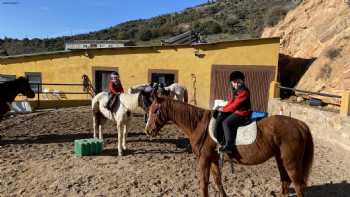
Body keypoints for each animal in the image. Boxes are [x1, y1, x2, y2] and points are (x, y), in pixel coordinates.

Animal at [145, 96, 314, 197]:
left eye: (156, 110)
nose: (148, 130)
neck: (199, 125)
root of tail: (300, 124)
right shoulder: (213, 159)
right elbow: (218, 181)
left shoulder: (204, 159)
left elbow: (204, 183)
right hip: (281, 159)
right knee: (285, 182)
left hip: (291, 162)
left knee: (298, 185)